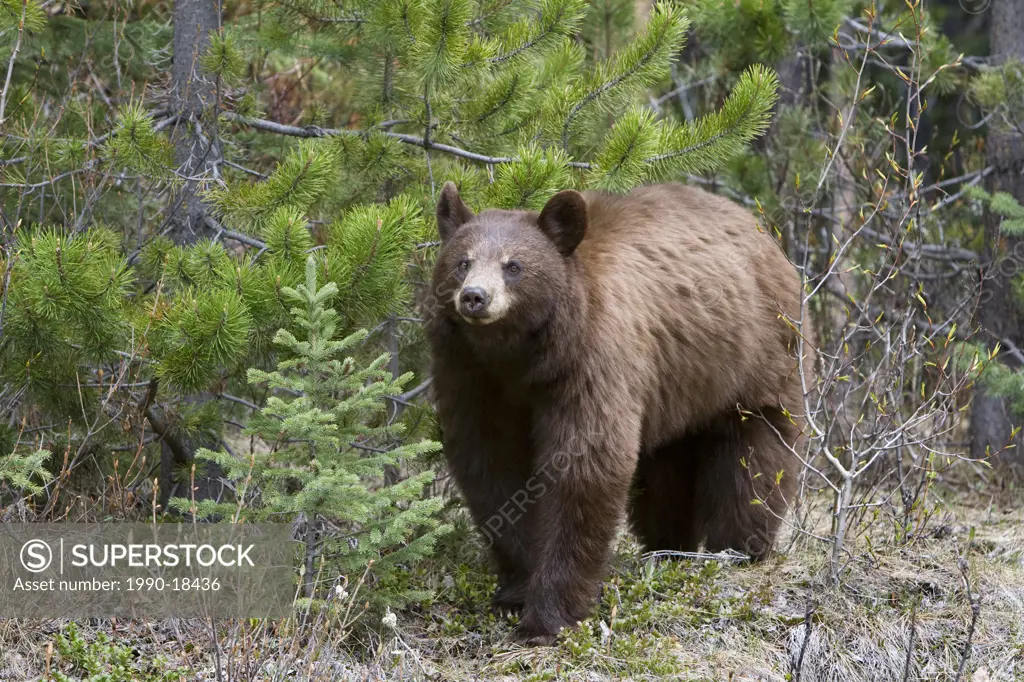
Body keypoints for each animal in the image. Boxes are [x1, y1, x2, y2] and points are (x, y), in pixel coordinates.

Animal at [423, 178, 806, 638]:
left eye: (513, 265)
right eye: (462, 262)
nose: (475, 297)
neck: (519, 355)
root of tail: (764, 232)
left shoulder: (590, 362)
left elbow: (585, 465)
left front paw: (549, 616)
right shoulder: (471, 374)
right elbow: (491, 462)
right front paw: (516, 591)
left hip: (756, 354)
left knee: (755, 450)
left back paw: (737, 548)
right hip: (677, 384)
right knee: (666, 471)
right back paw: (669, 546)